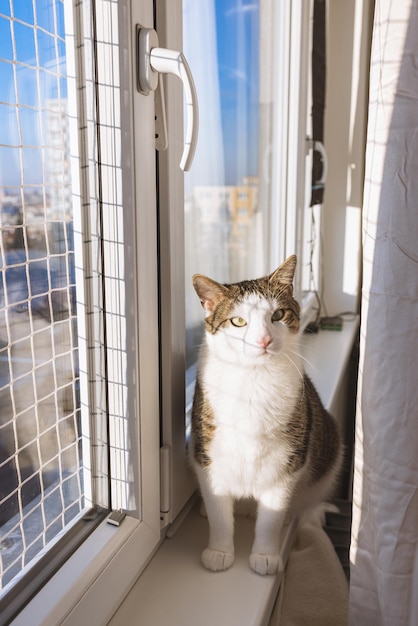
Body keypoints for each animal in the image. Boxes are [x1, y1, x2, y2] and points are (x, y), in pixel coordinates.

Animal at [189, 255, 342, 576]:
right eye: (238, 321)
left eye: (279, 314)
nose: (263, 341)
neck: (254, 379)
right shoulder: (208, 452)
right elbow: (219, 508)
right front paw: (219, 550)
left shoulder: (288, 459)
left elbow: (272, 514)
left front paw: (266, 555)